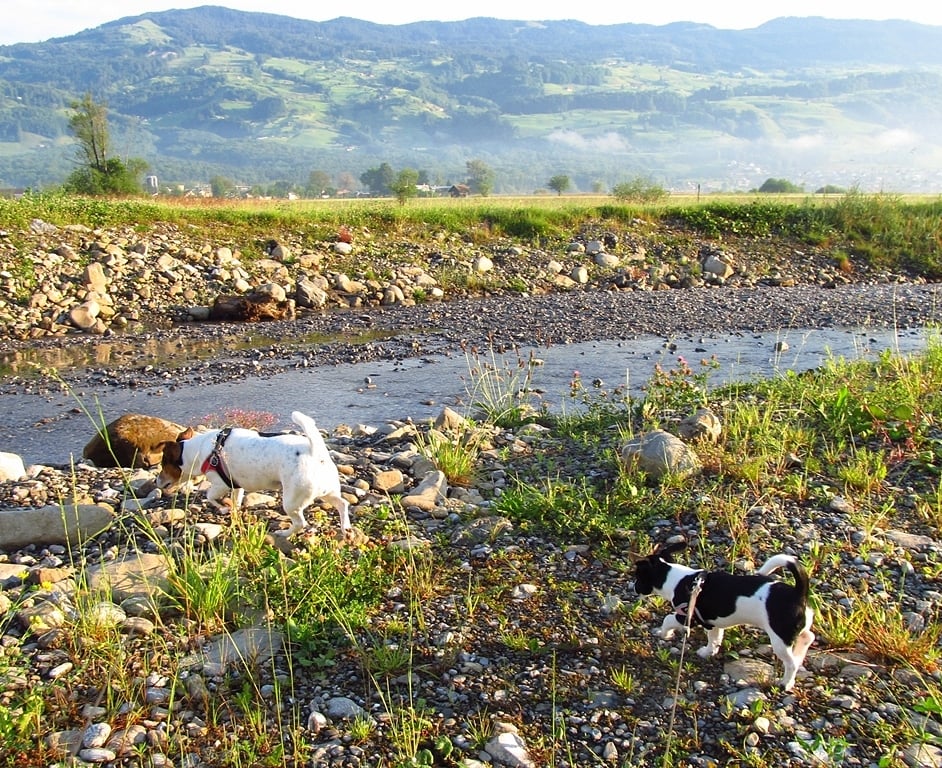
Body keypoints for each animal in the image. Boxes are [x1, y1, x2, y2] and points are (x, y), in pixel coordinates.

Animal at [157, 410, 350, 537]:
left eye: (163, 465)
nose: (157, 481)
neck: (199, 450)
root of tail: (315, 452)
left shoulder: (220, 484)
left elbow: (209, 496)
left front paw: (222, 507)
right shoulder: (236, 485)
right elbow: (235, 502)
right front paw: (232, 511)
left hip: (292, 501)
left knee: (300, 523)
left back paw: (283, 533)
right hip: (327, 492)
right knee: (343, 504)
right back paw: (345, 527)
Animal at [631, 540, 814, 690]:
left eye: (638, 577)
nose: (634, 589)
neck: (677, 578)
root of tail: (798, 593)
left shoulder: (687, 617)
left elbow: (668, 619)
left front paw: (664, 633)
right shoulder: (712, 623)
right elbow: (714, 639)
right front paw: (707, 653)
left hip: (779, 639)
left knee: (791, 663)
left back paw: (786, 683)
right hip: (795, 630)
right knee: (808, 637)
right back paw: (799, 656)